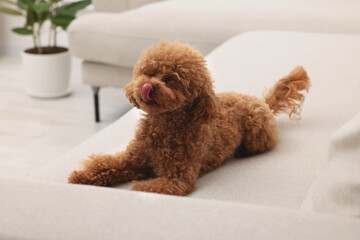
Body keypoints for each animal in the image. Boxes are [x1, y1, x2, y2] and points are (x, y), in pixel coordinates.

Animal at [69, 40, 310, 195]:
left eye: (171, 80)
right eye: (148, 73)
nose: (147, 86)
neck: (164, 126)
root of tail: (263, 102)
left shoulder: (178, 178)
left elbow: (150, 187)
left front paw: (136, 187)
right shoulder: (133, 159)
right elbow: (106, 164)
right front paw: (80, 177)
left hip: (257, 131)